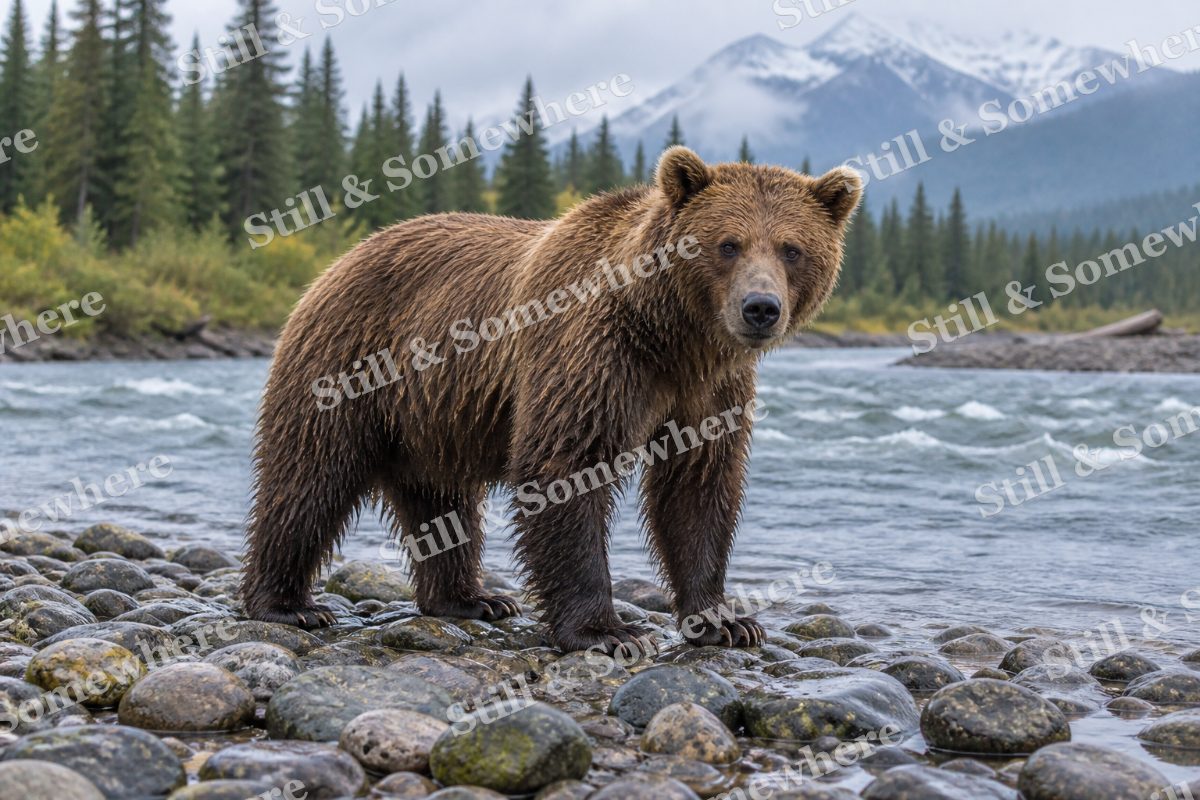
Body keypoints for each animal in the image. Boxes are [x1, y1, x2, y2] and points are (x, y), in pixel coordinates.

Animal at [241, 146, 862, 653]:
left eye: (792, 249)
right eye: (728, 244)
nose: (760, 307)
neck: (671, 337)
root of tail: (340, 260)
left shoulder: (710, 391)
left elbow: (698, 487)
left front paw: (725, 621)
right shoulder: (591, 354)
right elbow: (567, 467)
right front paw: (604, 631)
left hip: (431, 417)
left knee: (440, 502)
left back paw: (469, 598)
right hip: (347, 365)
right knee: (309, 479)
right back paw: (287, 605)